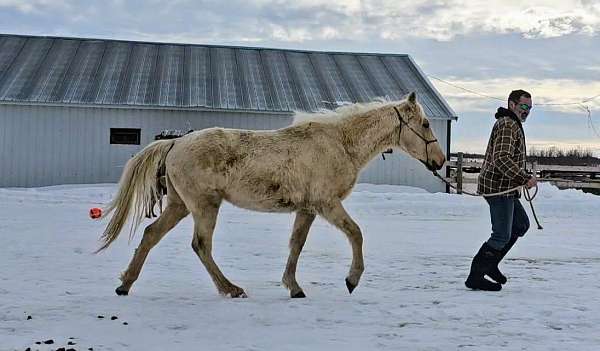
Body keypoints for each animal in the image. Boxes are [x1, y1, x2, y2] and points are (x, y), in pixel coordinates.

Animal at [97, 92, 446, 298]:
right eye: (426, 124)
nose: (440, 161)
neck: (340, 143)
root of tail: (176, 142)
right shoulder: (326, 203)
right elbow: (356, 233)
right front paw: (352, 280)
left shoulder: (307, 209)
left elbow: (296, 245)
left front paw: (294, 287)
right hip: (204, 205)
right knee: (201, 245)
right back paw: (231, 289)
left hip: (180, 205)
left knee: (151, 234)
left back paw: (125, 284)